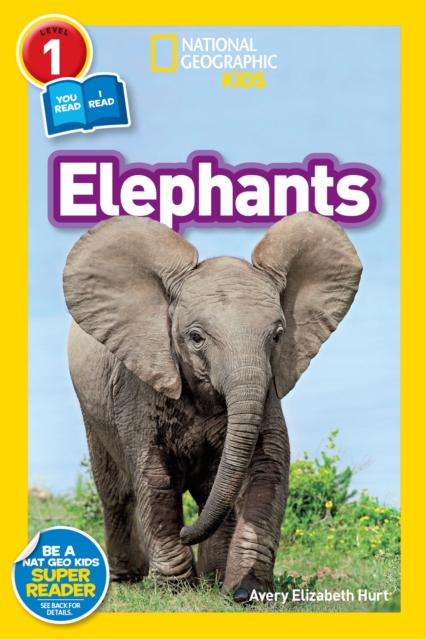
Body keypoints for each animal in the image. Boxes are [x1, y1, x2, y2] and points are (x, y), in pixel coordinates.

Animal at [63, 210, 362, 602]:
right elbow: (153, 474)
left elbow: (267, 466)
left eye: (278, 336)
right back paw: (129, 577)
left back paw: (212, 578)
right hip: (91, 405)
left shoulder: (266, 388)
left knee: (210, 492)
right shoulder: (136, 383)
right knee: (114, 490)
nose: (187, 531)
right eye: (196, 337)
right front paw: (174, 591)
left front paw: (247, 593)